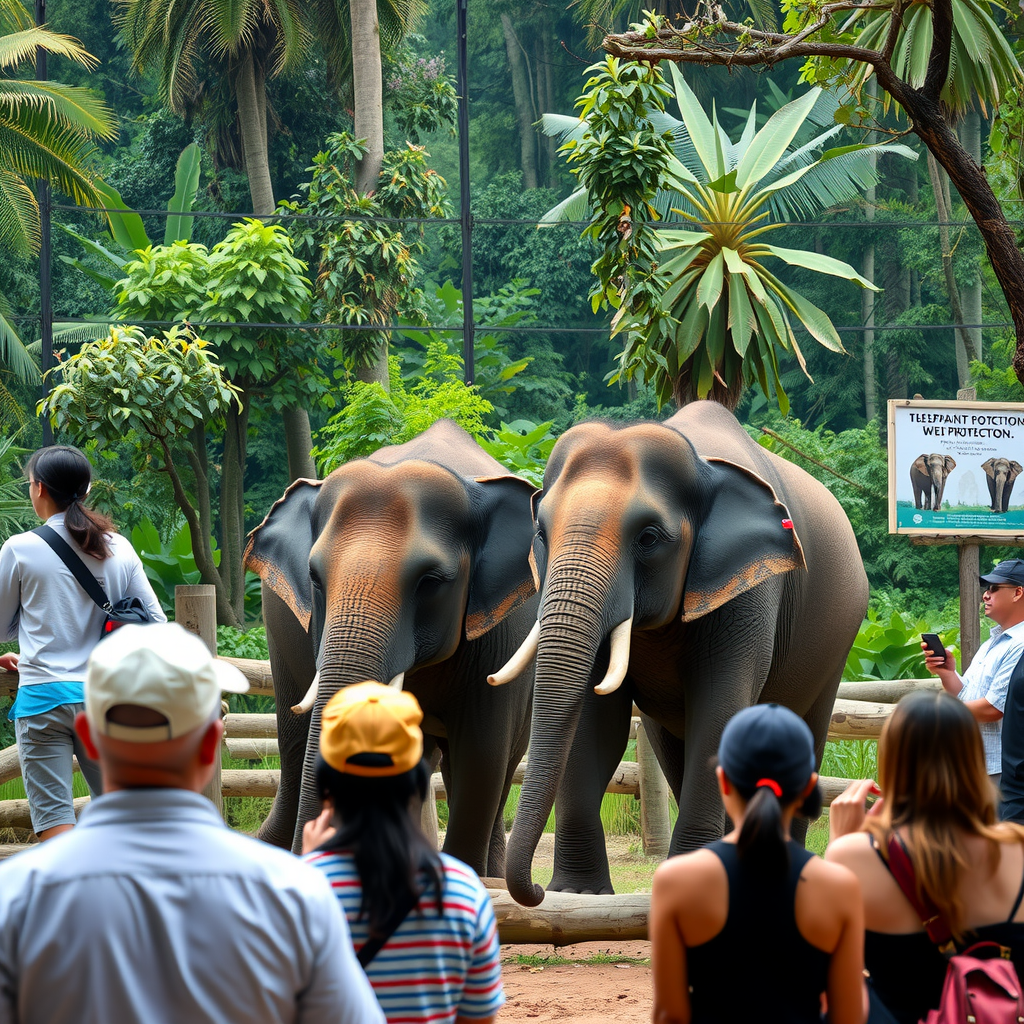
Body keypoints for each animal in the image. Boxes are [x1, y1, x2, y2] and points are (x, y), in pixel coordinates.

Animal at [243, 420, 538, 875]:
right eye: (314, 578)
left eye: (430, 582)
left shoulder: (499, 638)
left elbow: (481, 759)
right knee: (292, 747)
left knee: (501, 765)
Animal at [490, 401, 868, 907]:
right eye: (541, 533)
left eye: (649, 538)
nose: (531, 889)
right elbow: (594, 724)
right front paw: (578, 893)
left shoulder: (749, 591)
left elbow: (718, 710)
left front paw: (693, 885)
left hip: (836, 648)